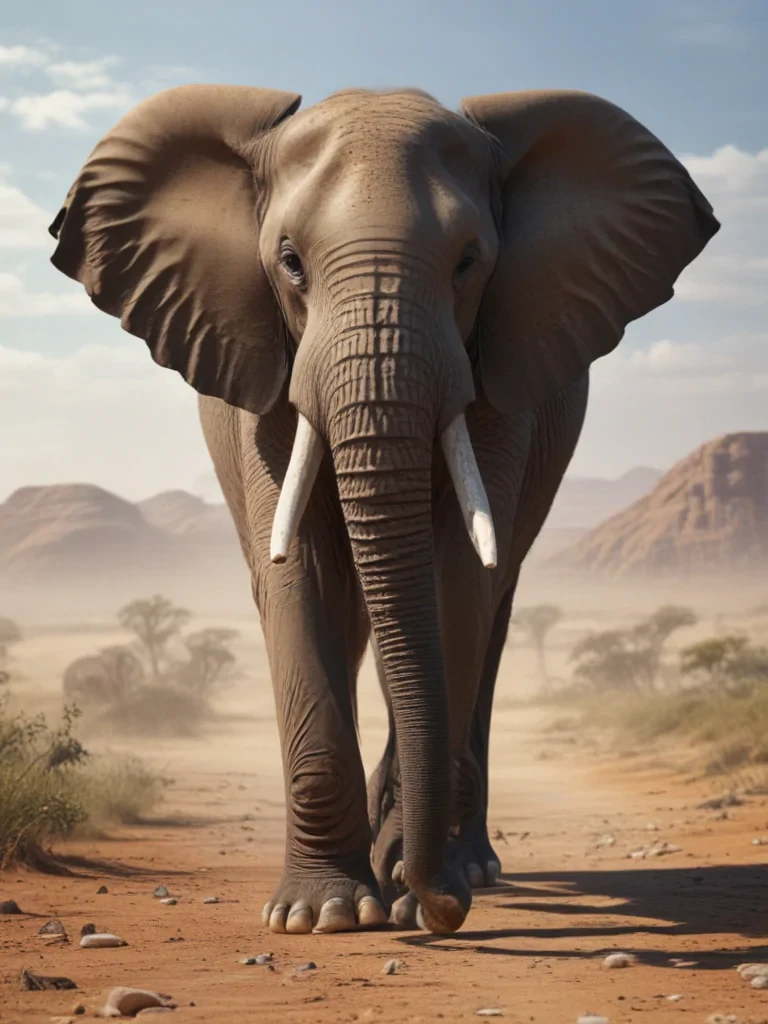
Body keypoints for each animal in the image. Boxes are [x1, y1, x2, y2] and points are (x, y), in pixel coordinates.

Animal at [48, 83, 719, 935]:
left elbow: (456, 576)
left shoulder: (499, 376)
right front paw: (322, 914)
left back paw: (463, 863)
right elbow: (297, 572)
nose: (442, 908)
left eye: (468, 262)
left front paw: (405, 892)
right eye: (290, 263)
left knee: (490, 616)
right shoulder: (264, 382)